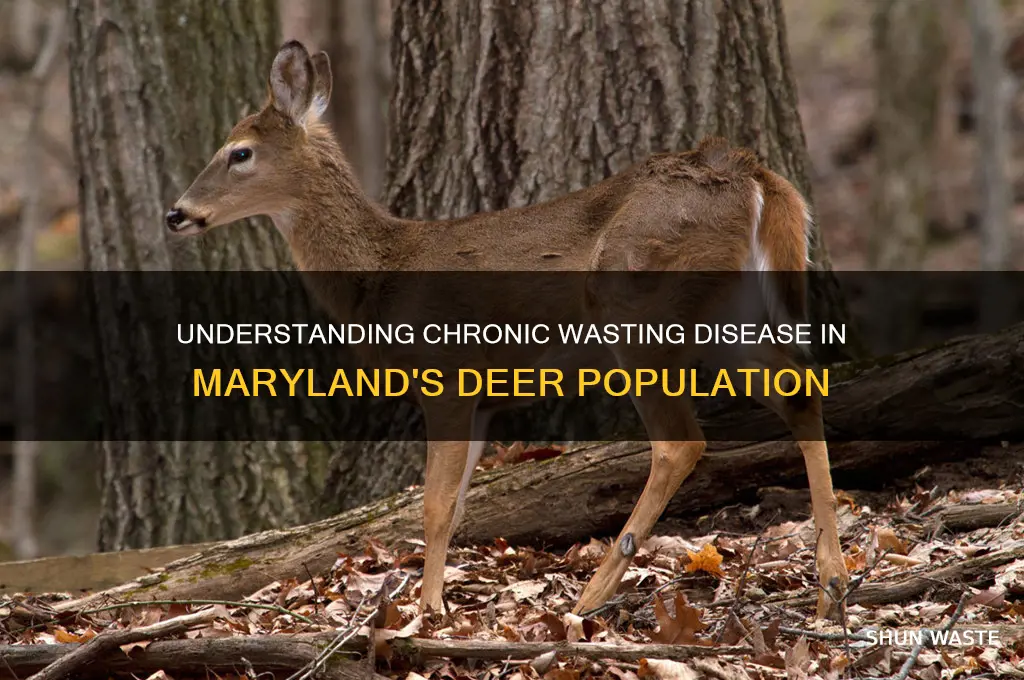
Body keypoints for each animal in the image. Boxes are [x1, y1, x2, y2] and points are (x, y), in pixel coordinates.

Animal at [167, 40, 850, 620]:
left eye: (239, 151)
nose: (176, 213)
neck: (382, 277)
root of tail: (753, 175)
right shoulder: (485, 400)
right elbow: (457, 505)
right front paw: (435, 599)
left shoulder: (446, 376)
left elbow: (434, 503)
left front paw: (427, 611)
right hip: (730, 308)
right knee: (798, 387)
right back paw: (832, 583)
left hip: (640, 308)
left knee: (682, 440)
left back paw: (591, 596)